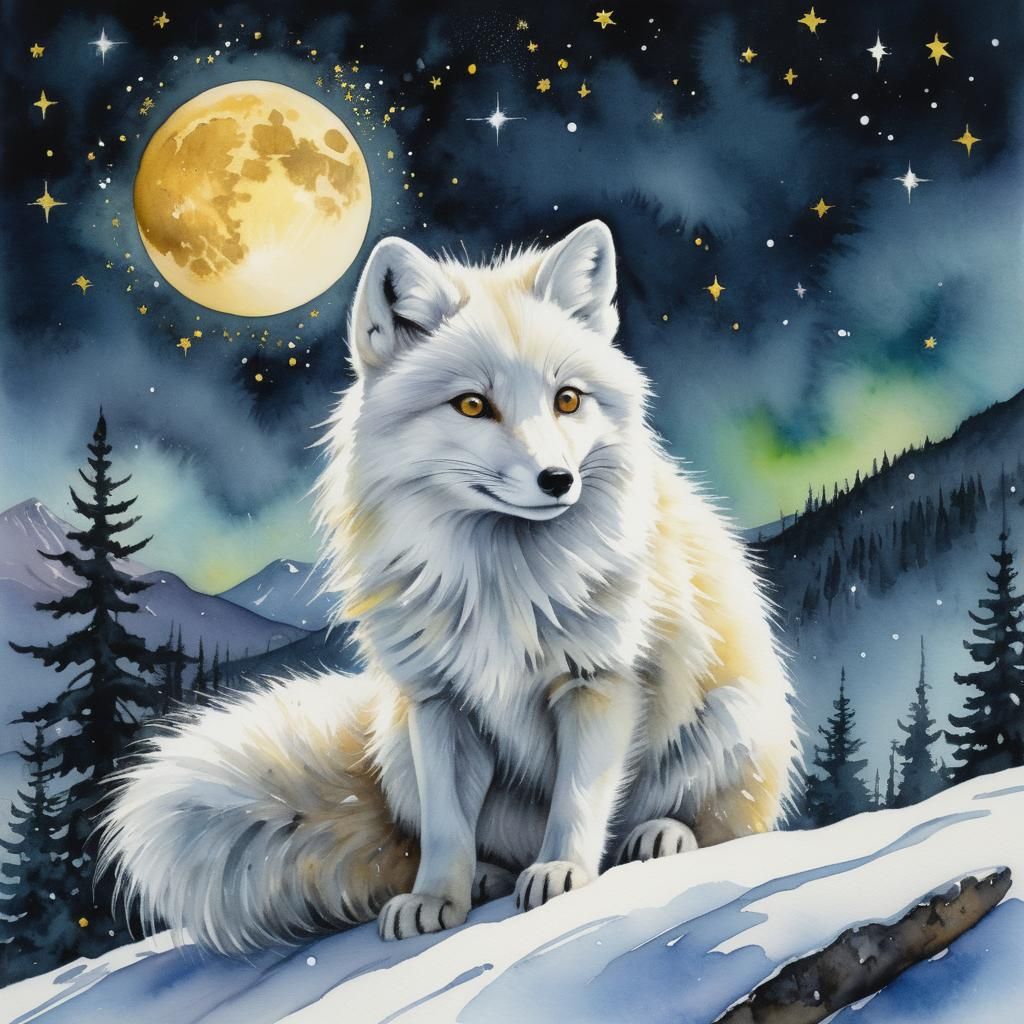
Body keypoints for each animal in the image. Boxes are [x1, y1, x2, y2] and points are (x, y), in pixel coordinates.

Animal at [100, 220, 798, 954]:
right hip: (397, 745)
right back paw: (490, 876)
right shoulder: (439, 704)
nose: (559, 480)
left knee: (719, 826)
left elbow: (579, 799)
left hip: (728, 721)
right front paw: (438, 899)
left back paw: (658, 836)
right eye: (472, 405)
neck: (501, 587)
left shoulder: (597, 682)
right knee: (474, 841)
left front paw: (564, 874)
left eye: (567, 399)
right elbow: (443, 829)